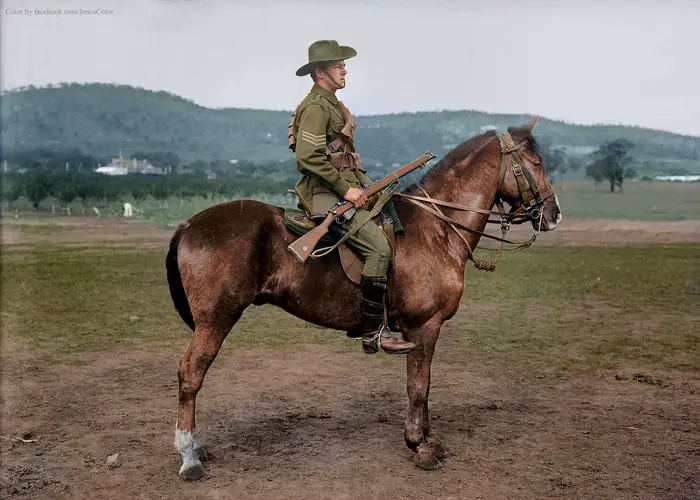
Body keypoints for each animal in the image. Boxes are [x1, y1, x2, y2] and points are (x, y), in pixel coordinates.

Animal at [165, 117, 564, 480]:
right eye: (536, 162)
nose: (554, 214)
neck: (438, 228)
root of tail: (189, 224)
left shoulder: (425, 331)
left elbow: (426, 383)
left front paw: (430, 440)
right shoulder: (424, 327)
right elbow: (418, 386)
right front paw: (419, 446)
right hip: (216, 318)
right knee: (191, 373)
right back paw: (189, 456)